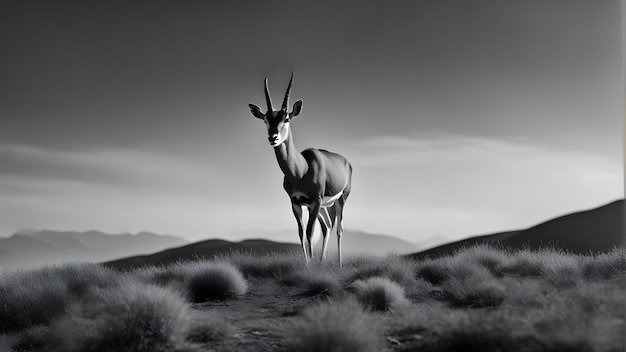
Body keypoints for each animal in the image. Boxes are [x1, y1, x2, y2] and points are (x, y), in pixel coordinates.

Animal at [251, 74, 354, 266]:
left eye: (286, 118)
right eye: (266, 119)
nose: (273, 138)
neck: (301, 170)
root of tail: (346, 161)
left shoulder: (314, 202)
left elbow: (309, 233)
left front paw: (311, 267)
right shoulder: (296, 204)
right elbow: (301, 234)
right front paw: (308, 266)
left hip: (339, 200)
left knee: (339, 228)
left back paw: (339, 264)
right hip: (323, 206)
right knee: (327, 226)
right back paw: (321, 263)